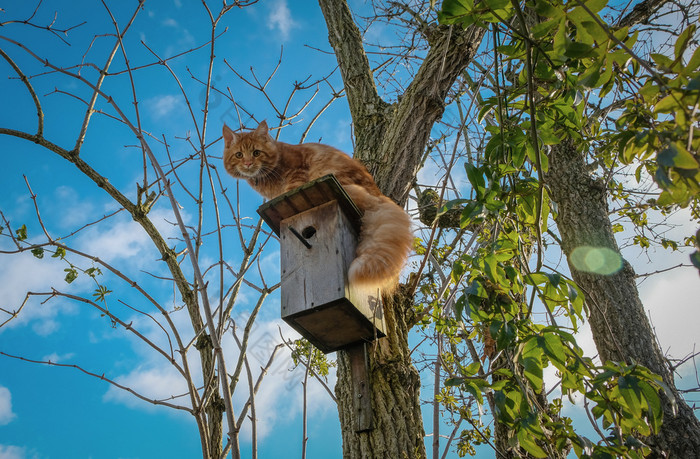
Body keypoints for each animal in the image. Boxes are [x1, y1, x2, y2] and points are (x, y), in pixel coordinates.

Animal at [221, 121, 412, 292]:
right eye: (239, 155)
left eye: (256, 153)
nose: (247, 163)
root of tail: (378, 193)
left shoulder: (296, 170)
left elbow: (291, 187)